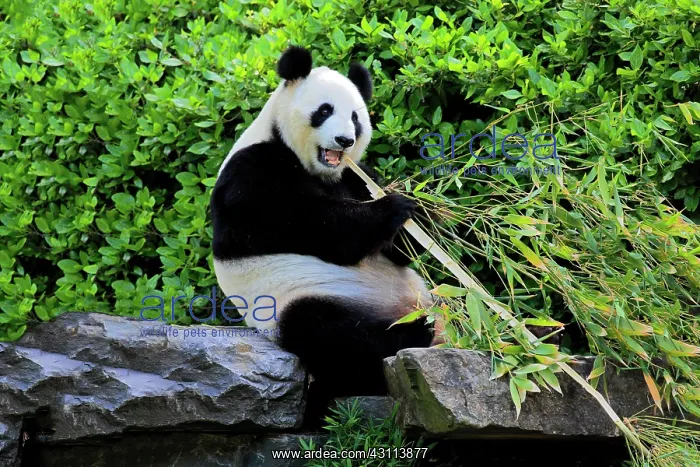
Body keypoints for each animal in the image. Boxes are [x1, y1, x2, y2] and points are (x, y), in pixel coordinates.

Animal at [211, 46, 440, 408]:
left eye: (356, 117)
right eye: (324, 110)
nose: (344, 140)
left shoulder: (355, 176)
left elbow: (399, 251)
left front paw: (423, 207)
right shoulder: (250, 177)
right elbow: (318, 227)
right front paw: (395, 206)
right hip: (294, 299)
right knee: (331, 334)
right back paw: (414, 332)